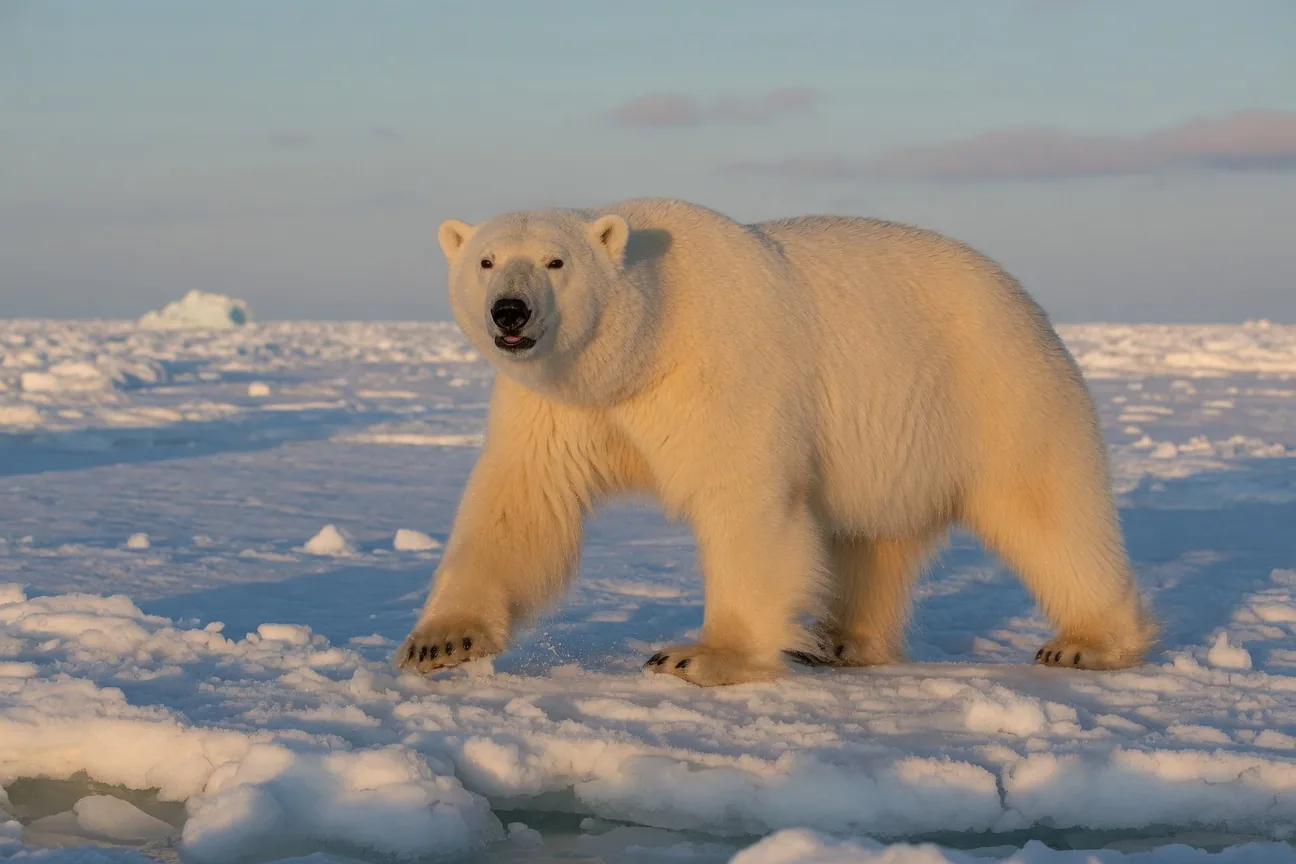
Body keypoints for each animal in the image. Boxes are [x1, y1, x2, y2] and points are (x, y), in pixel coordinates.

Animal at [395, 197, 1156, 687]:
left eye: (556, 262)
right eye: (487, 260)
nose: (510, 311)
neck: (642, 347)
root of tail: (1025, 300)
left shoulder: (719, 366)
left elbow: (744, 499)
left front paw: (698, 656)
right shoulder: (559, 405)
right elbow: (522, 503)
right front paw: (439, 642)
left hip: (997, 390)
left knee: (1048, 511)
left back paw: (1086, 643)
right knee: (870, 540)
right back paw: (840, 639)